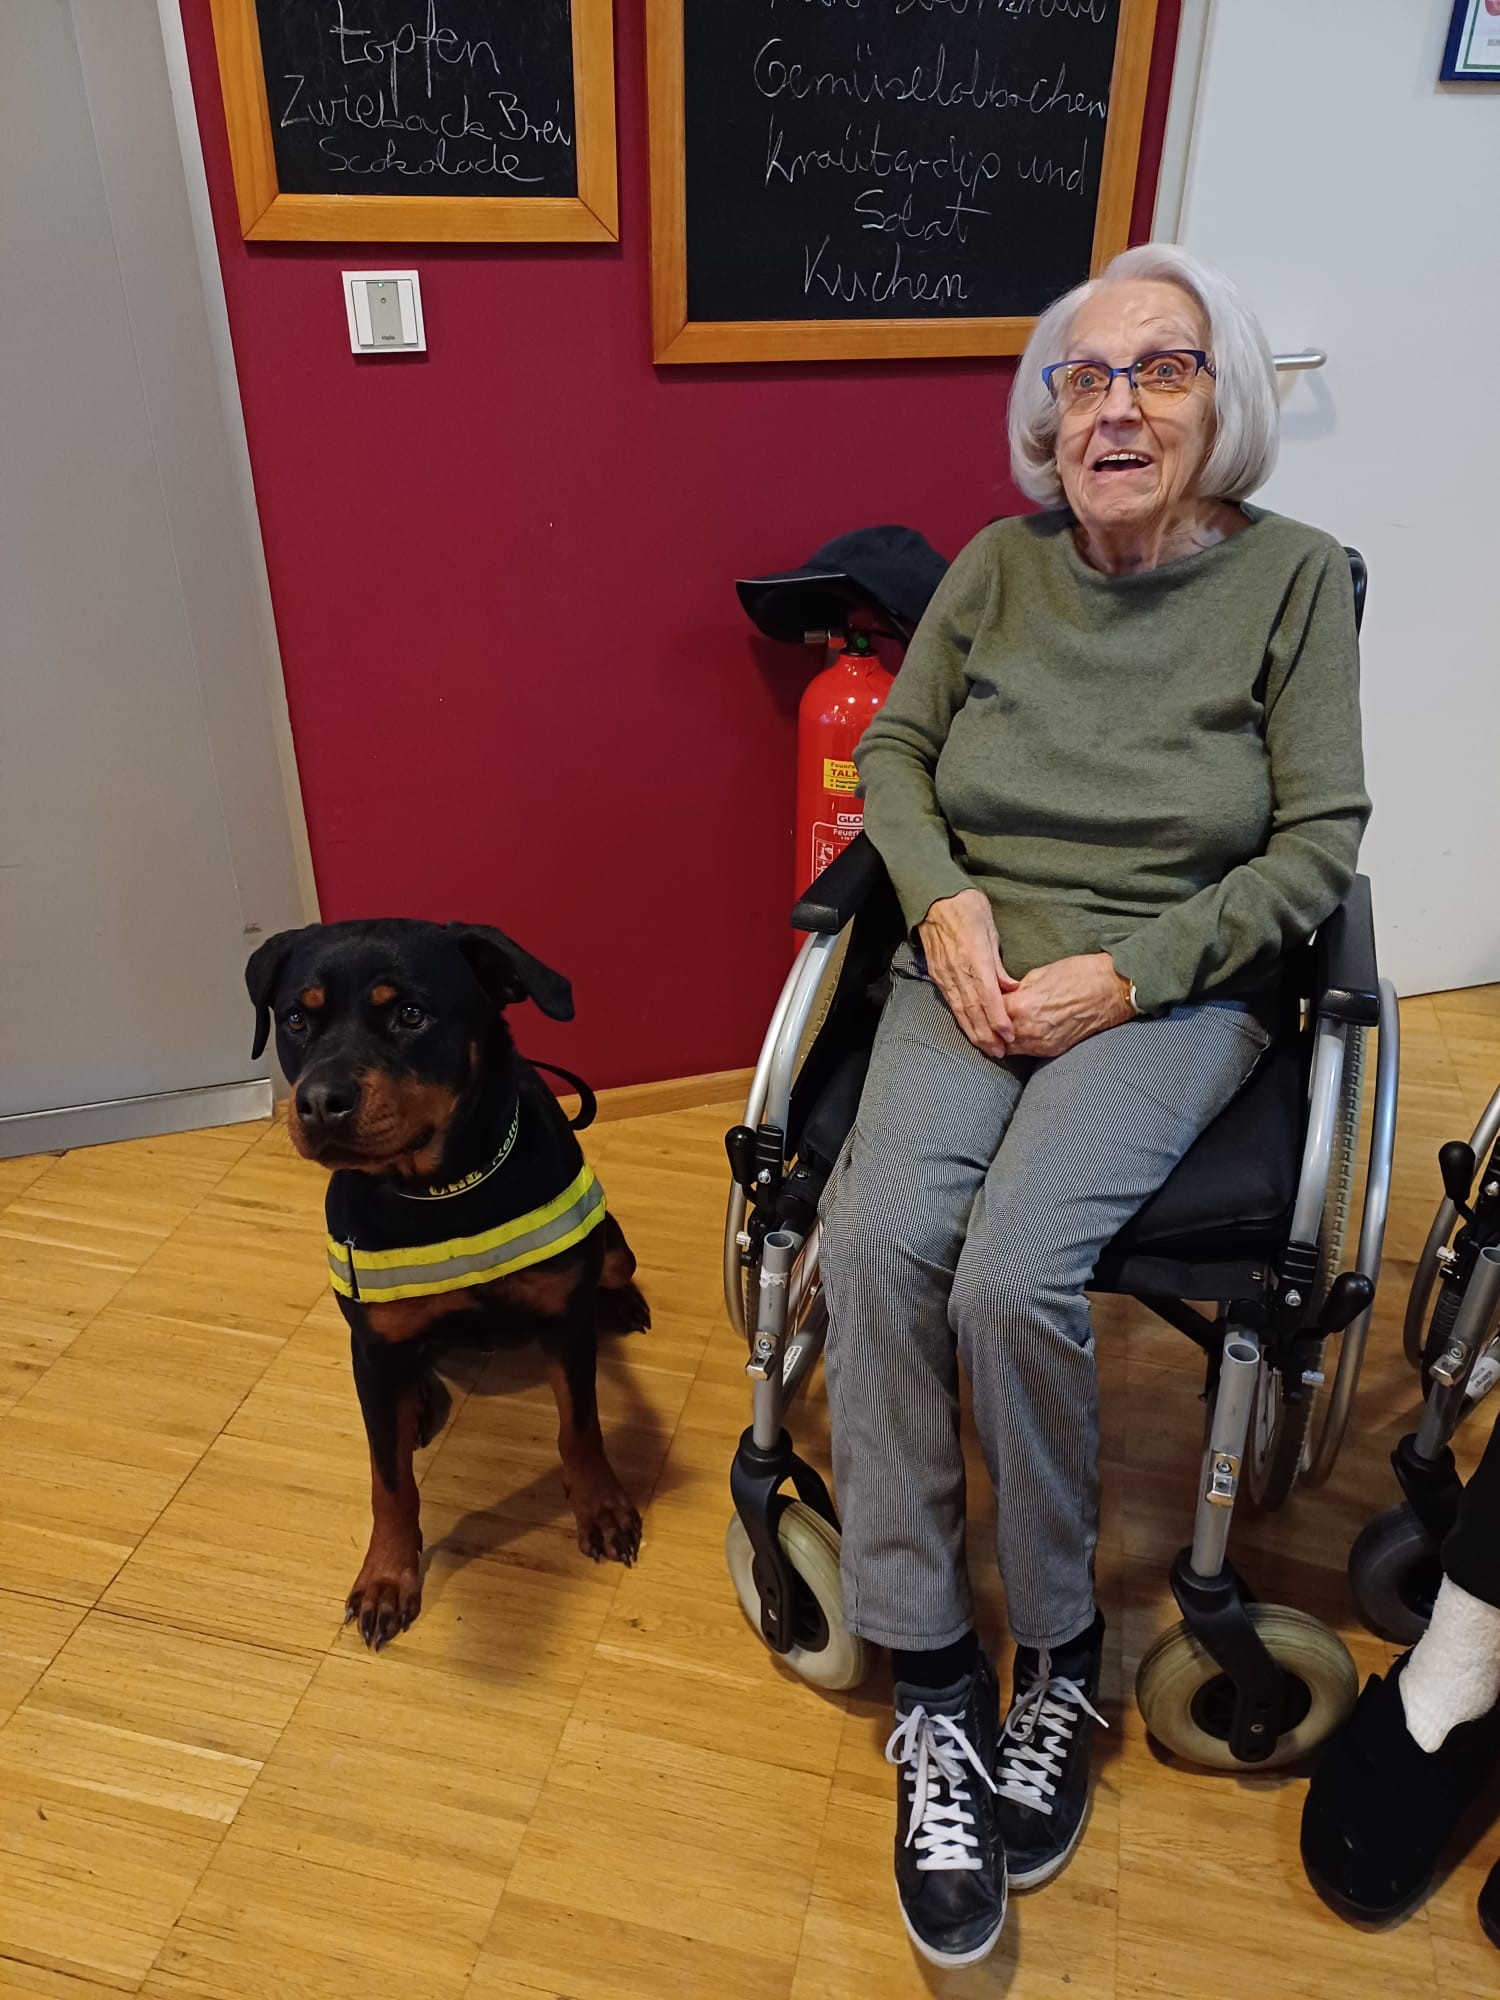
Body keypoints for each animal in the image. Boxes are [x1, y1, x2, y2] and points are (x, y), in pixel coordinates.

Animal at [245, 917, 648, 1649]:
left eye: (411, 1013)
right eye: (295, 1019)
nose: (319, 1103)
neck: (442, 1190)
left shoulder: (564, 1320)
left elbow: (581, 1426)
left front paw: (600, 1506)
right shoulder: (373, 1344)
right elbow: (389, 1482)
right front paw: (387, 1574)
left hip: (610, 1247)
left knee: (613, 1269)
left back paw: (623, 1301)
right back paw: (419, 1403)